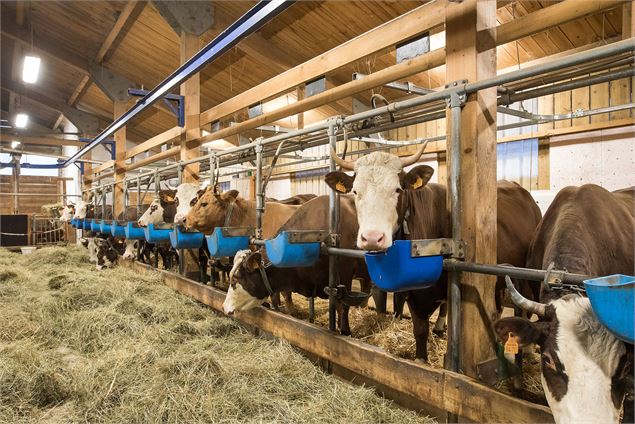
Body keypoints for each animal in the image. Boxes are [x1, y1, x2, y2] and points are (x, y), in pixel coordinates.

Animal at [328, 143, 540, 362]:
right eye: (355, 191)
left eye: (398, 190)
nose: (371, 238)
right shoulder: (413, 294)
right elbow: (420, 330)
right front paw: (421, 358)